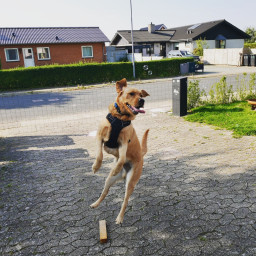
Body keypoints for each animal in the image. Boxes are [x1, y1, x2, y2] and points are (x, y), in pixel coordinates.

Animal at [90, 78, 149, 224]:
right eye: (132, 93)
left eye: (141, 94)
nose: (142, 100)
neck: (120, 118)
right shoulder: (99, 137)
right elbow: (99, 154)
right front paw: (96, 166)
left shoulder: (123, 143)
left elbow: (121, 158)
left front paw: (117, 167)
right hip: (109, 180)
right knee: (104, 192)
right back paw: (96, 203)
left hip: (130, 182)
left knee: (125, 201)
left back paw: (120, 217)